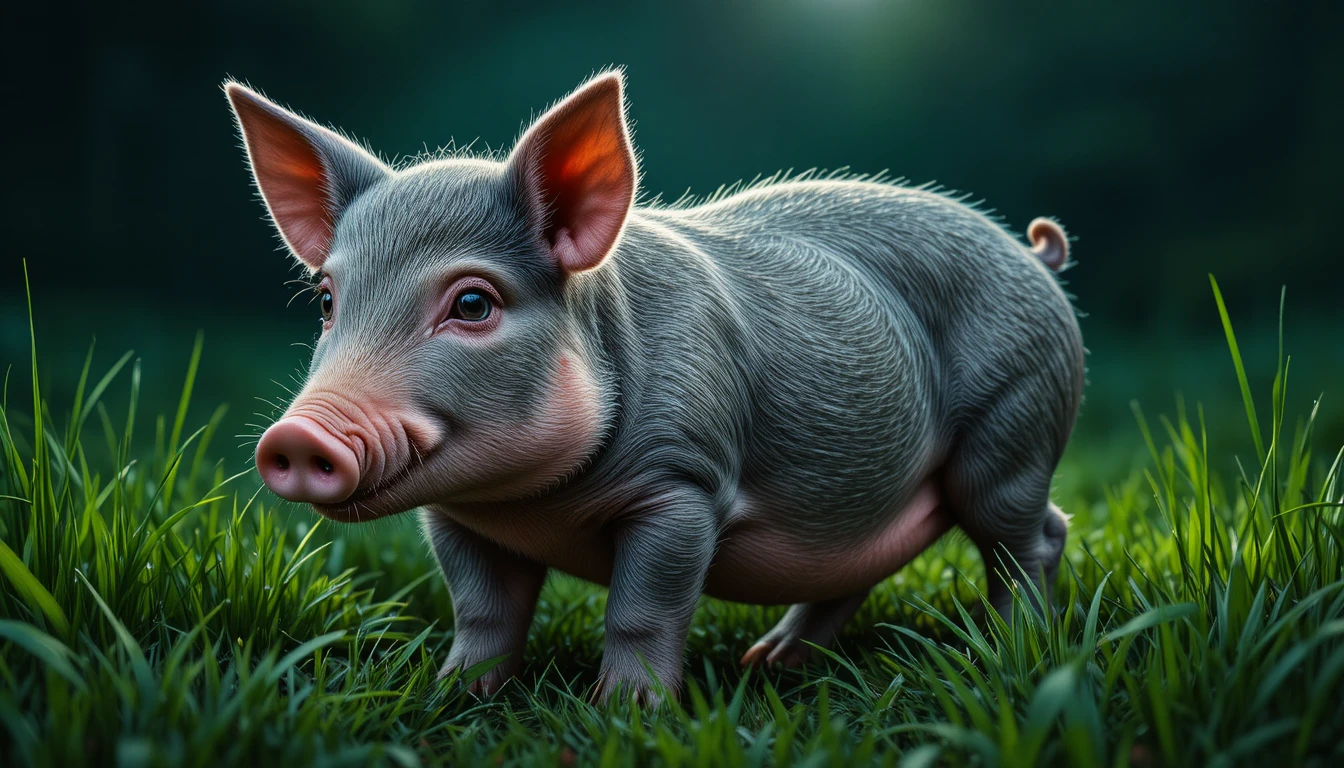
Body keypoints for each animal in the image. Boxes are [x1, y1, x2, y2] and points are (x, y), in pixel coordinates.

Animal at [229, 71, 1083, 702]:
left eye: (472, 304)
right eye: (328, 300)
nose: (296, 437)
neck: (535, 506)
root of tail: (1032, 256)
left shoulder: (683, 483)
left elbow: (644, 608)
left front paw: (626, 713)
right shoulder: (457, 515)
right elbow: (483, 611)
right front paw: (451, 696)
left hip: (1017, 418)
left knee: (1031, 537)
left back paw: (1014, 653)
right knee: (862, 565)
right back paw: (768, 663)